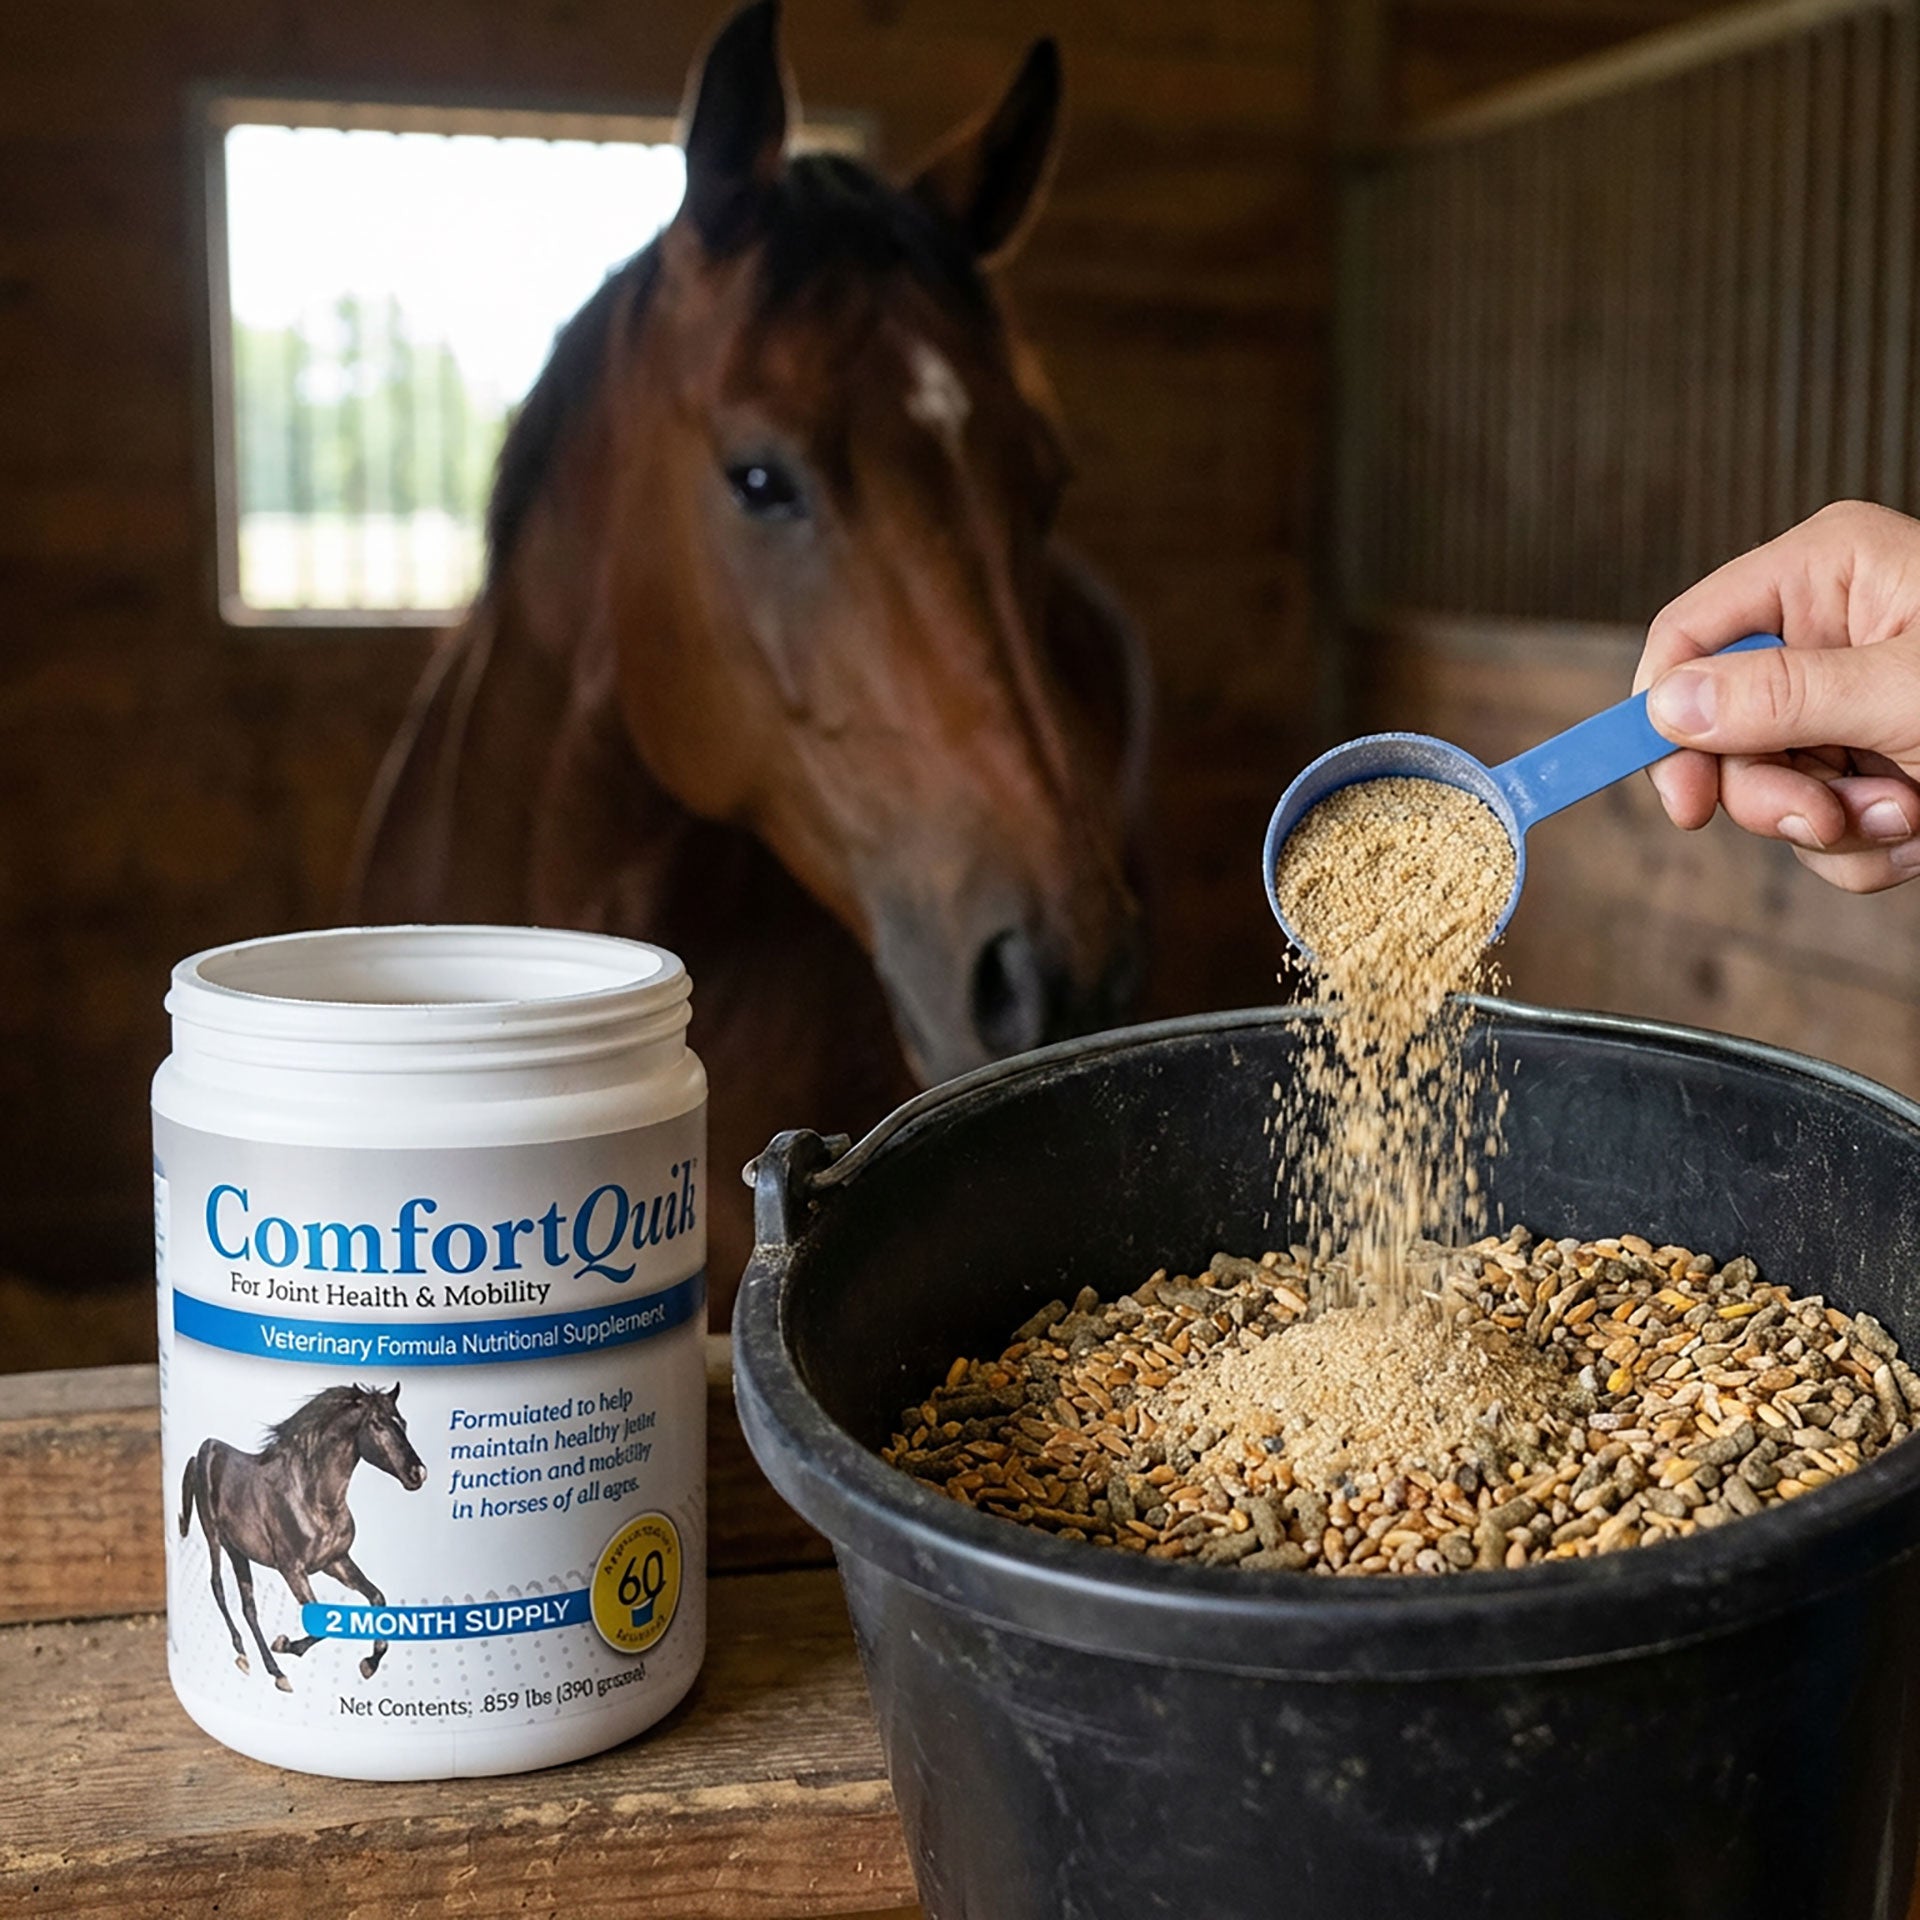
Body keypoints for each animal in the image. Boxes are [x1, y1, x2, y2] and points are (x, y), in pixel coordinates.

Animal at [178, 1382, 427, 1691]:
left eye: (402, 1423)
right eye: (378, 1424)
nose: (418, 1473)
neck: (314, 1499)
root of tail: (202, 1452)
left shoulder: (336, 1562)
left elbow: (377, 1598)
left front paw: (369, 1663)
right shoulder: (292, 1569)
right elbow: (319, 1622)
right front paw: (284, 1643)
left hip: (238, 1551)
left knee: (249, 1607)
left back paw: (275, 1671)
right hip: (213, 1536)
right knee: (218, 1586)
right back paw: (245, 1656)